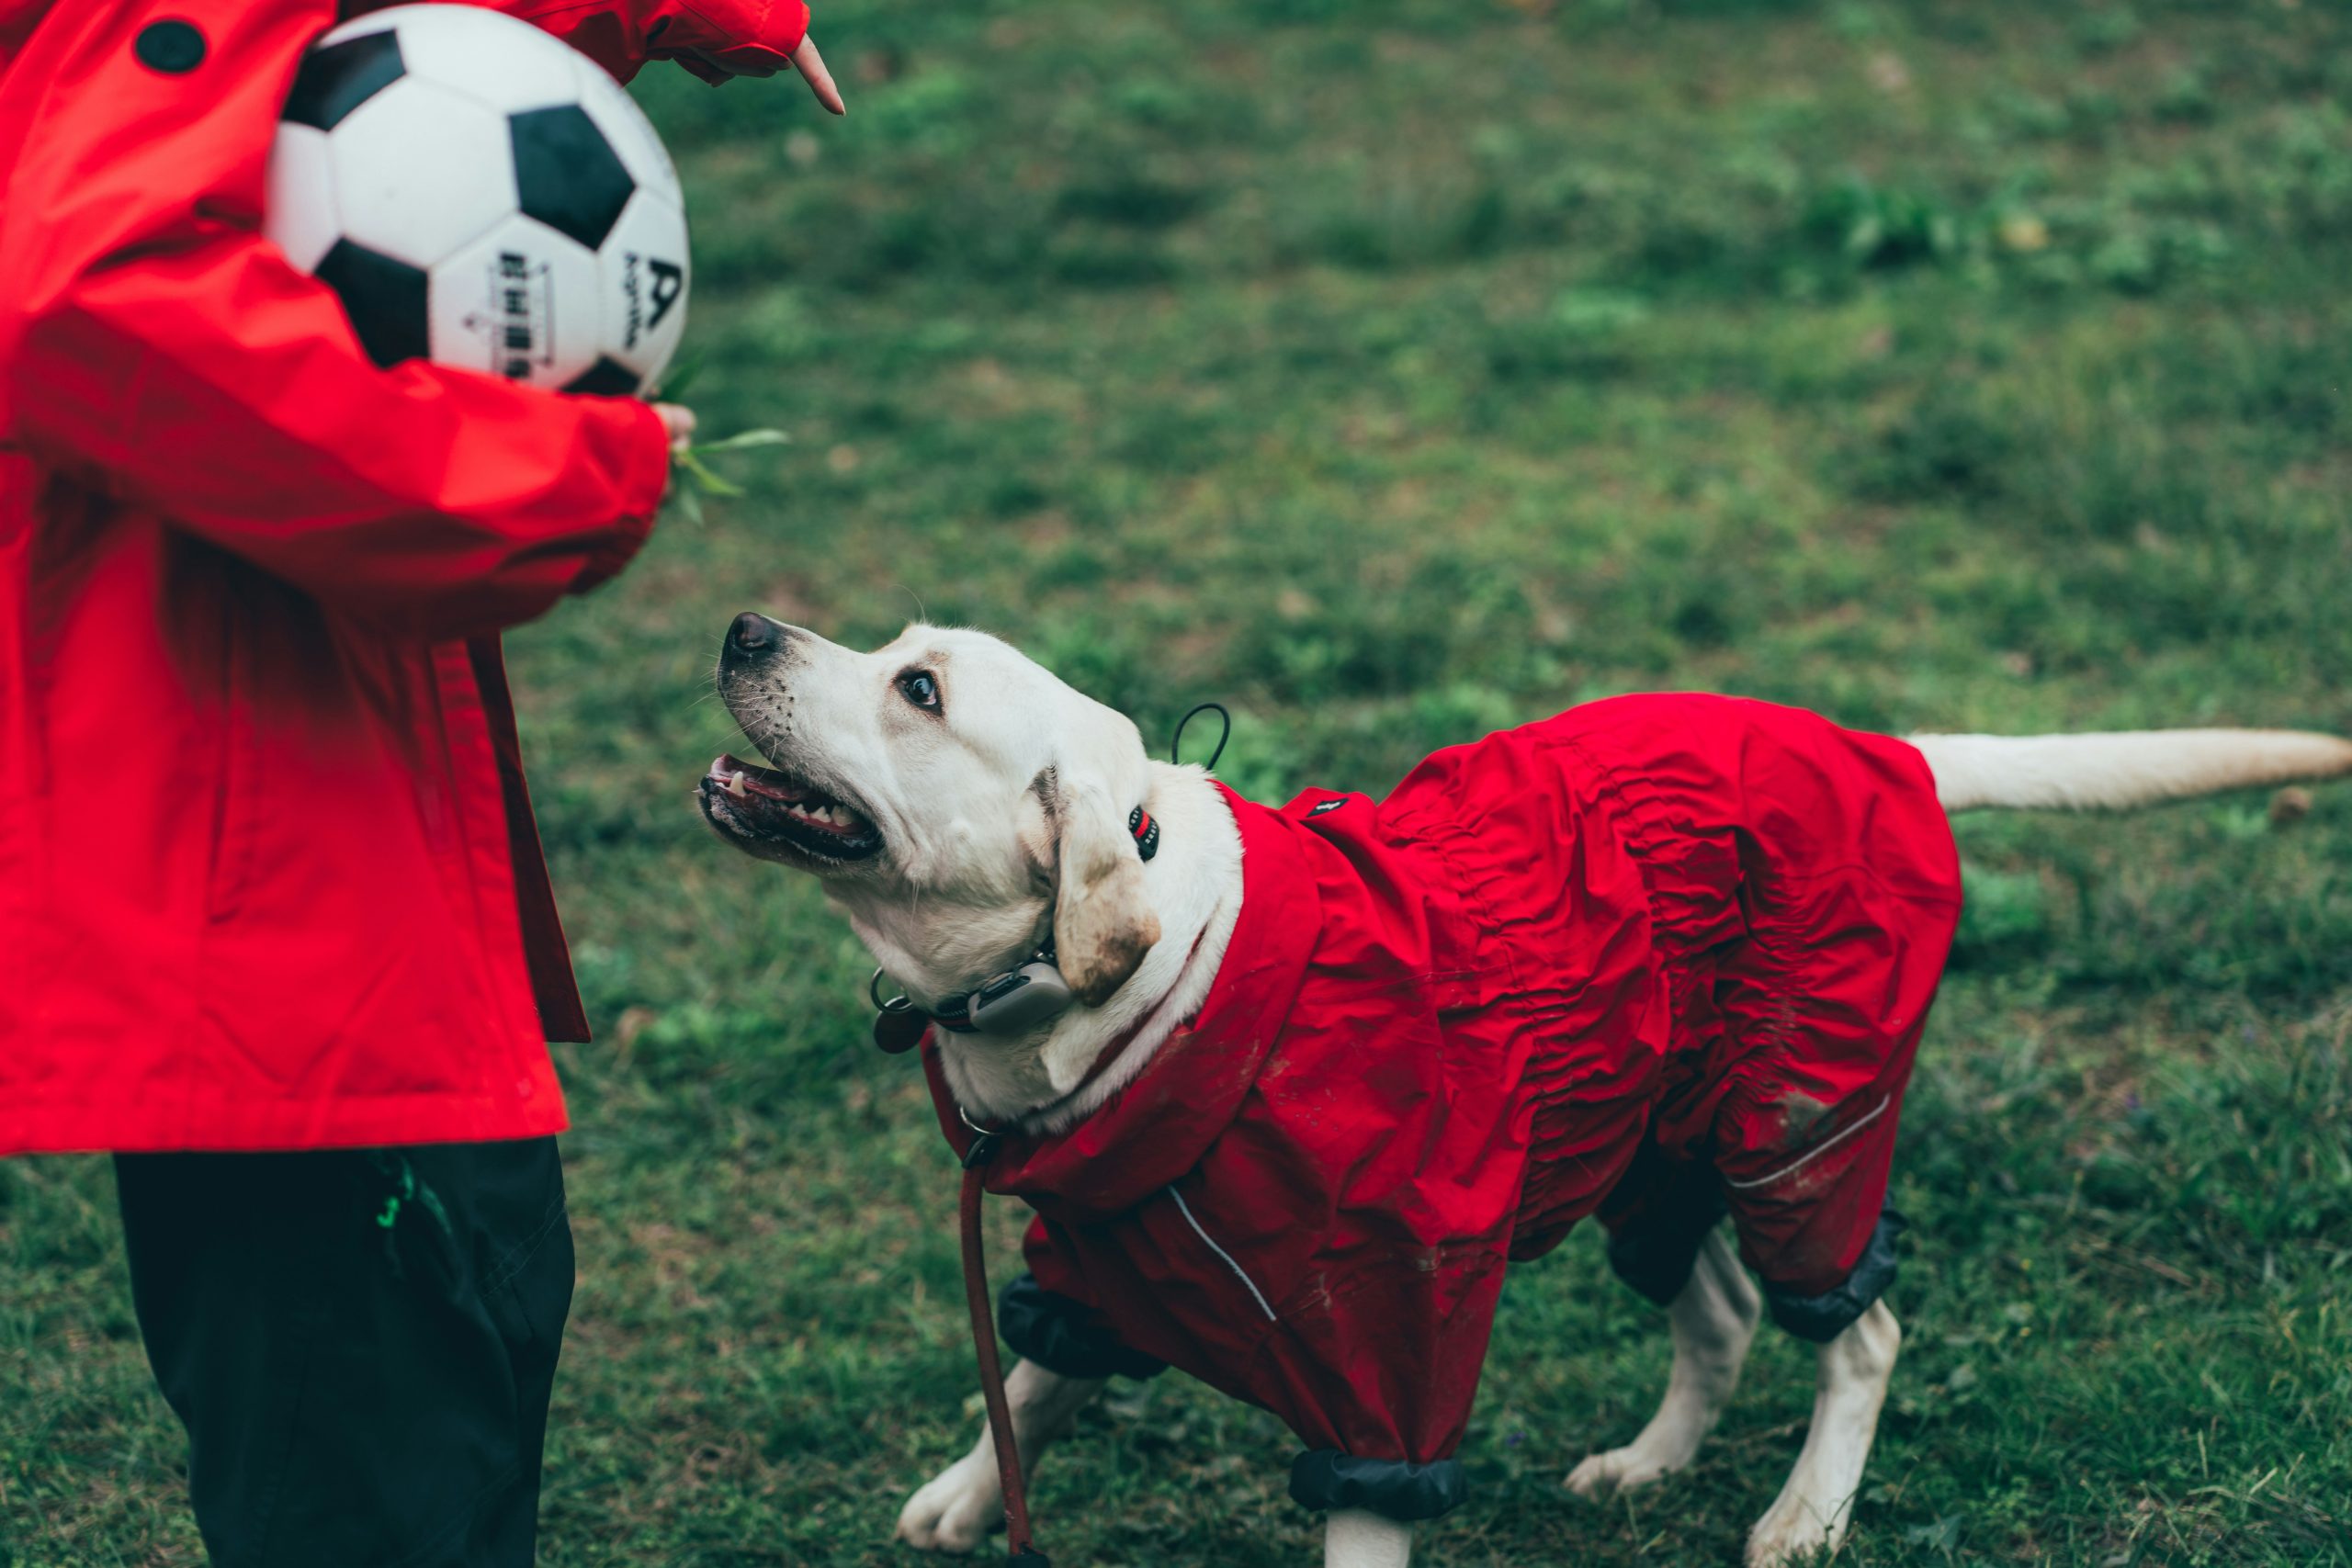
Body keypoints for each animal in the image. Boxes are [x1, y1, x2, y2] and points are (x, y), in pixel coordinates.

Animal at [695, 611, 2352, 1568]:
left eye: (915, 688)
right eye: (893, 641)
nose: (743, 621)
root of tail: (1878, 745)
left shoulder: (1386, 1351)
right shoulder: (1097, 1254)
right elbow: (1029, 1383)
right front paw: (967, 1495)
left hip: (1800, 1132)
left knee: (1858, 1329)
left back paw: (1804, 1514)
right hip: (1650, 1146)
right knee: (1722, 1316)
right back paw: (1649, 1464)